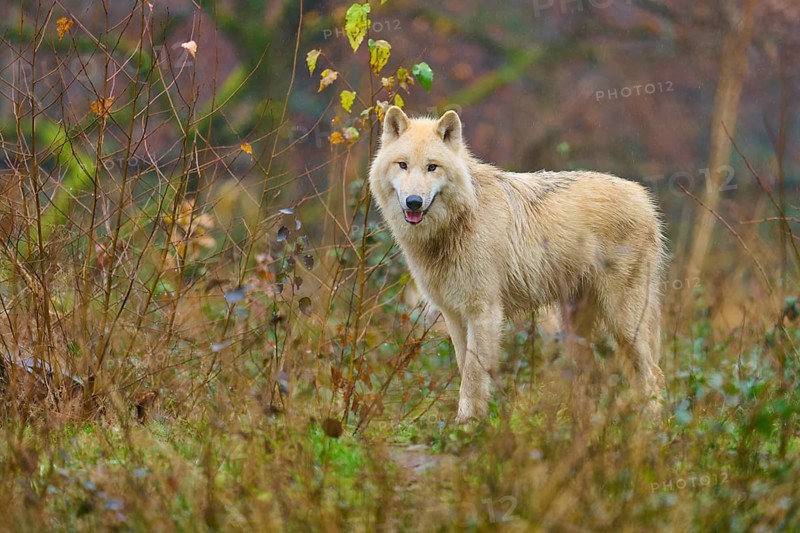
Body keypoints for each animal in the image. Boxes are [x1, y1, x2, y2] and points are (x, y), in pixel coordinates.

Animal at [369, 106, 666, 423]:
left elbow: (473, 376)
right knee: (593, 376)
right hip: (574, 325)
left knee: (653, 375)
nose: (413, 202)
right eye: (402, 165)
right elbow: (464, 368)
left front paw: (468, 425)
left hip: (624, 323)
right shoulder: (454, 315)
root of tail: (643, 196)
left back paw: (649, 429)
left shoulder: (484, 312)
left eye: (432, 167)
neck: (458, 221)